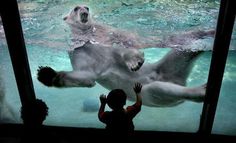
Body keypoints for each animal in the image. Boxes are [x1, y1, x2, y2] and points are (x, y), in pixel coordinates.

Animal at [36, 41, 205, 107]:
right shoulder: (81, 58)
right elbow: (86, 77)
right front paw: (46, 74)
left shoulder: (104, 48)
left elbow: (119, 49)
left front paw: (135, 61)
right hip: (162, 78)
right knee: (158, 88)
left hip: (162, 68)